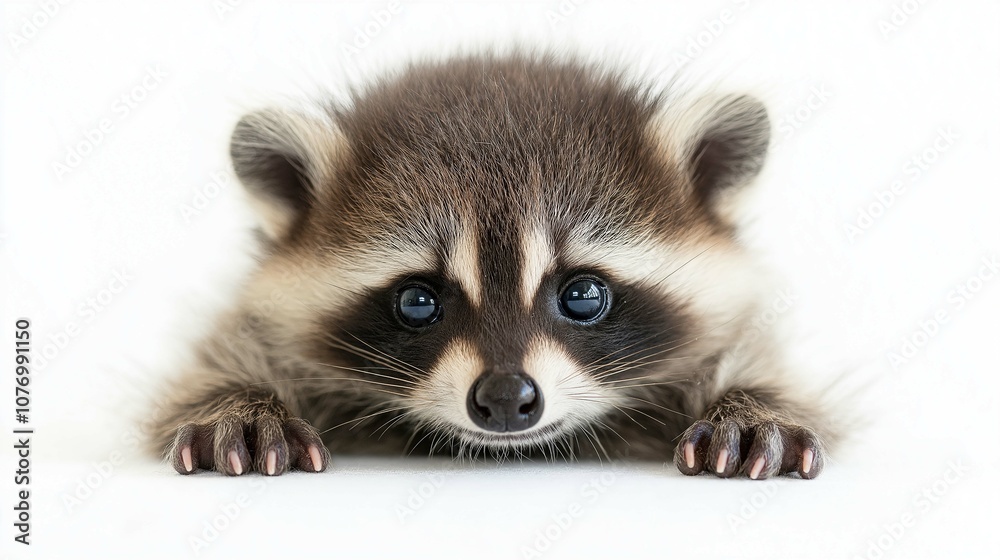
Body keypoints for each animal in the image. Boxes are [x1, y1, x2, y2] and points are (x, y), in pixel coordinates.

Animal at [150, 53, 835, 480]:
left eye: (583, 295)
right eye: (417, 301)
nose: (506, 398)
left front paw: (752, 406)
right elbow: (210, 364)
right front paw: (239, 404)